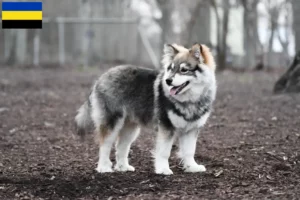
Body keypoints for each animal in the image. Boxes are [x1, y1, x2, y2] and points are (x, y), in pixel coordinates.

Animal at [74, 43, 216, 174]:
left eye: (184, 70)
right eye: (171, 69)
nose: (168, 81)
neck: (190, 100)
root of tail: (101, 77)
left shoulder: (192, 129)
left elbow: (189, 151)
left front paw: (192, 167)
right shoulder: (166, 127)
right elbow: (164, 152)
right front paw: (163, 169)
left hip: (130, 128)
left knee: (121, 146)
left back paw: (123, 167)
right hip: (112, 122)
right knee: (105, 145)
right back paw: (103, 168)